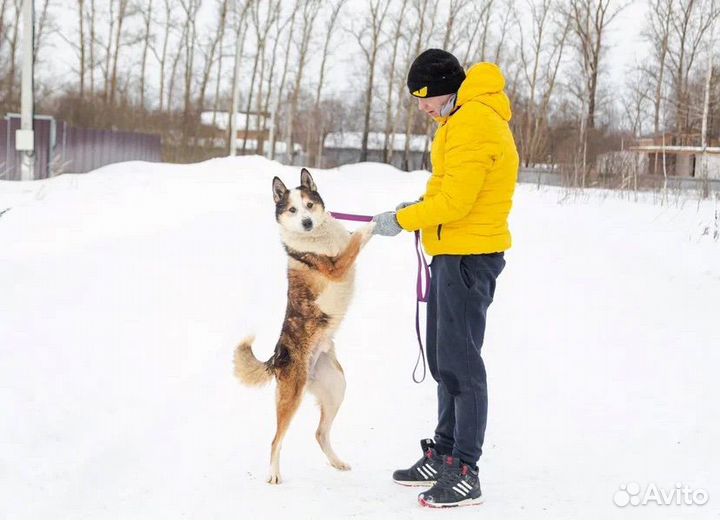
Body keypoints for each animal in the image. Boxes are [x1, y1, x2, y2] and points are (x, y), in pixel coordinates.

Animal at [233, 169, 374, 486]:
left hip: (336, 386)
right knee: (275, 440)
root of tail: (276, 358)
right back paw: (273, 474)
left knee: (320, 433)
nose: (307, 222)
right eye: (292, 210)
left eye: (309, 205)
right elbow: (358, 238)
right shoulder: (336, 265)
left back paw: (337, 462)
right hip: (292, 397)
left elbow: (351, 238)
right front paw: (379, 222)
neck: (318, 236)